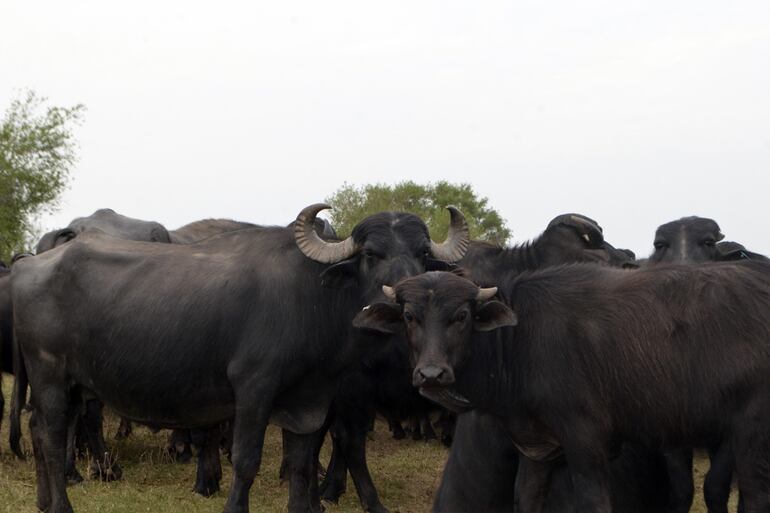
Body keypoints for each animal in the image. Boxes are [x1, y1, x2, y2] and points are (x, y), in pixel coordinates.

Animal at [9, 203, 468, 512]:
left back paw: (44, 501)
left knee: (38, 430)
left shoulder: (309, 401)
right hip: (50, 375)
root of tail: (27, 267)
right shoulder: (253, 390)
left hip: (72, 383)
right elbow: (246, 461)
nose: (406, 295)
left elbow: (301, 465)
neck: (312, 300)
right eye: (371, 253)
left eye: (423, 253)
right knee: (51, 437)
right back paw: (61, 504)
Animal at [354, 264, 768, 512]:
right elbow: (525, 500)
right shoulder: (537, 449)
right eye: (410, 316)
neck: (519, 344)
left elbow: (594, 504)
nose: (431, 374)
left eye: (461, 316)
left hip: (751, 433)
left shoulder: (586, 443)